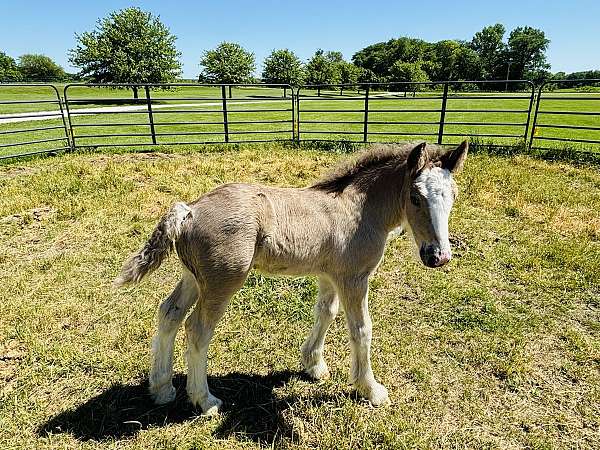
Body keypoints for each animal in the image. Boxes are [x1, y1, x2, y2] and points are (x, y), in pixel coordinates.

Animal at [113, 141, 468, 414]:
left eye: (453, 196)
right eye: (415, 197)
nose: (438, 256)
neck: (360, 210)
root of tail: (189, 211)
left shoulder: (329, 275)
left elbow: (326, 313)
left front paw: (314, 365)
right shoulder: (354, 278)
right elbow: (361, 330)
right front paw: (371, 389)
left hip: (193, 277)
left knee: (169, 313)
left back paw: (162, 389)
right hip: (221, 282)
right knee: (197, 329)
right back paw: (205, 400)